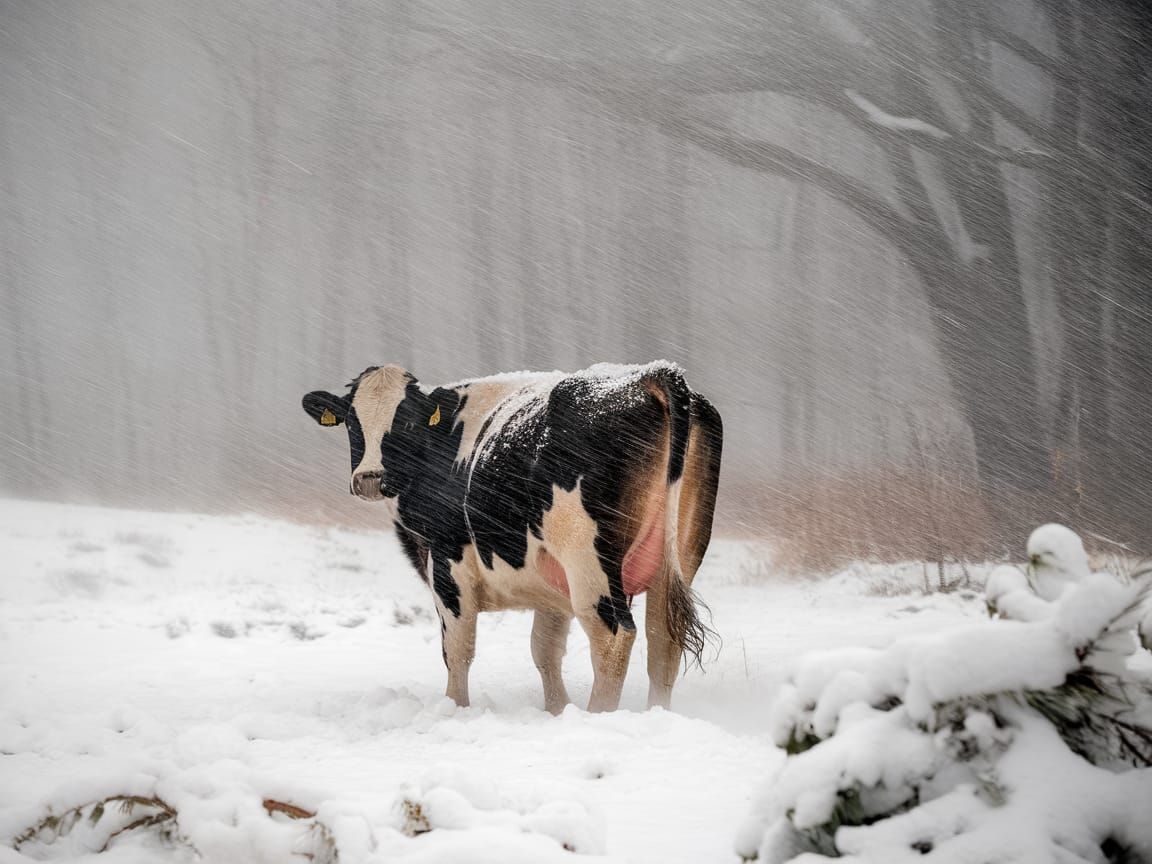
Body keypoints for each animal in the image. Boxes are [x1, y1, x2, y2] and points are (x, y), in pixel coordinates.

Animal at [301, 361, 722, 713]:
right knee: (664, 640)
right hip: (680, 556)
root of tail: (650, 373)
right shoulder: (550, 582)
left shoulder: (448, 561)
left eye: (405, 421)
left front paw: (456, 709)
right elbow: (544, 650)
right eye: (352, 422)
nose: (369, 478)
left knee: (614, 636)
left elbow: (457, 648)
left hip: (588, 559)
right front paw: (557, 711)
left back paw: (598, 715)